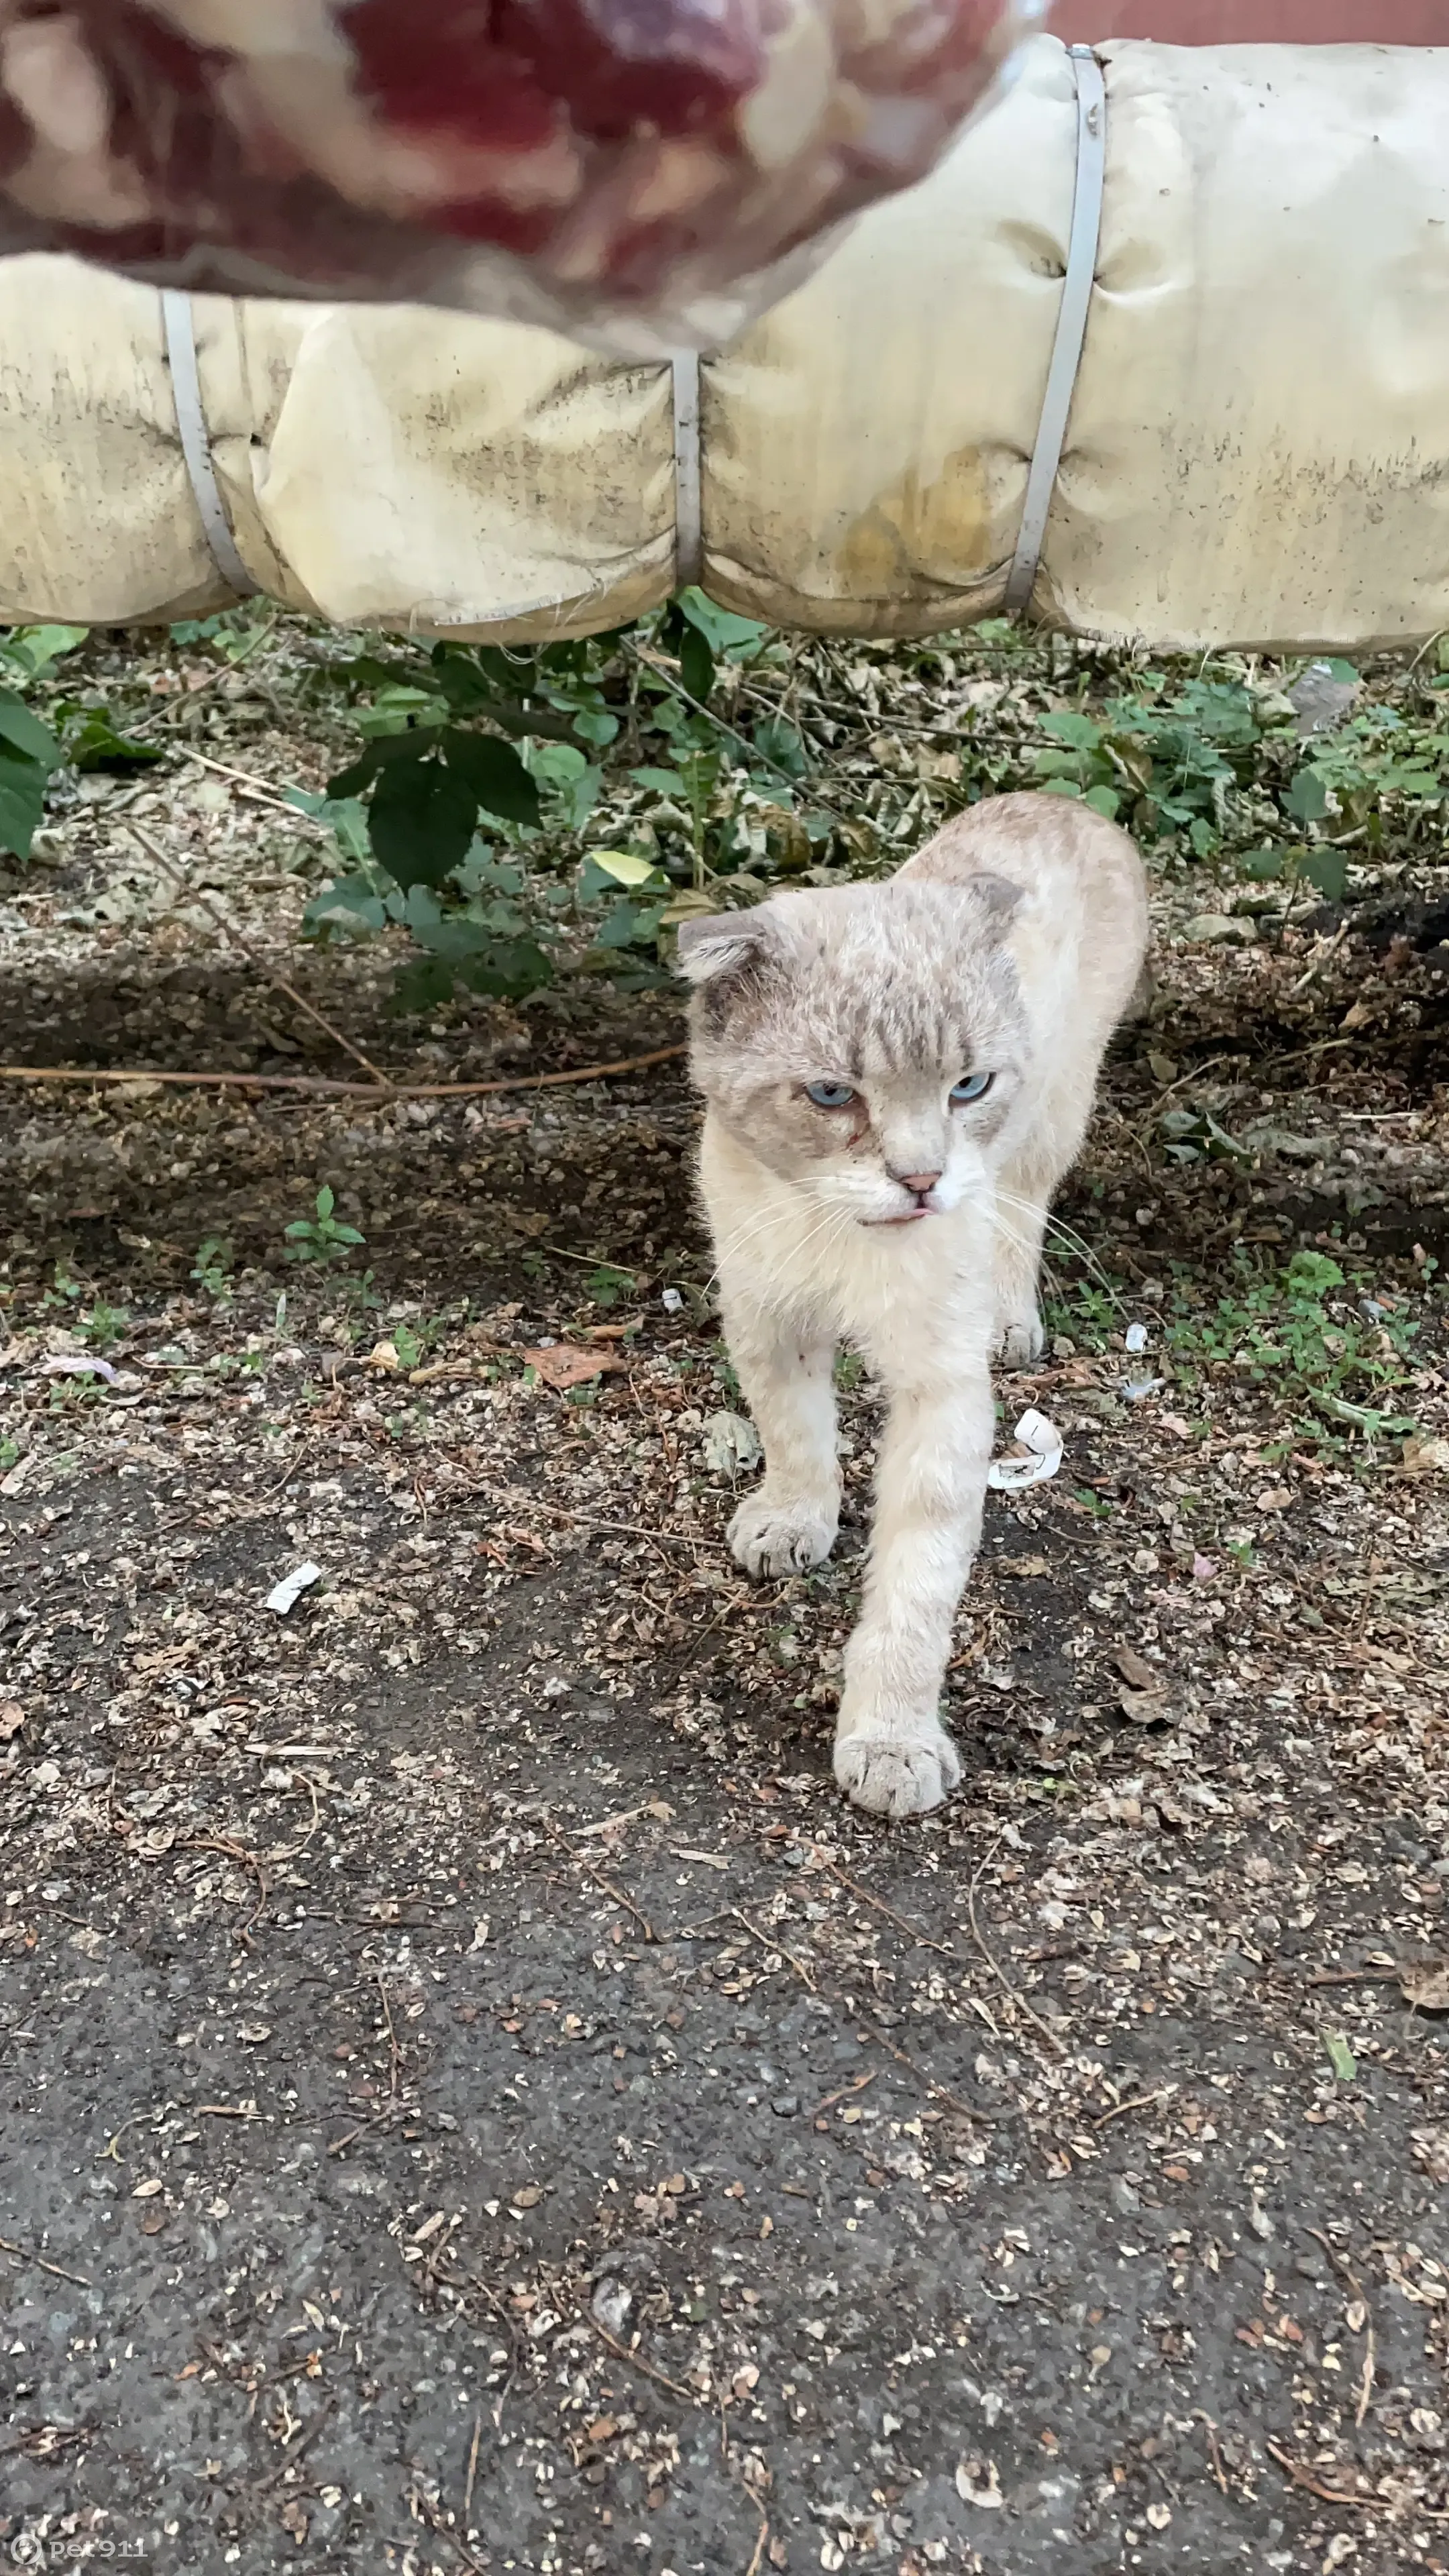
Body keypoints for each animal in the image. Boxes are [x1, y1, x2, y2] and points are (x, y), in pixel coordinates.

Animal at [675, 793, 1139, 1823]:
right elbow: (796, 1439)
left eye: (966, 1085)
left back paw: (1012, 1320)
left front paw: (891, 1742)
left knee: (1021, 1208)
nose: (922, 1180)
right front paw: (792, 1522)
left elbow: (915, 1593)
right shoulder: (769, 1320)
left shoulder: (940, 1392)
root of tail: (1059, 798)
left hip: (1053, 1109)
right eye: (830, 1094)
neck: (839, 1238)